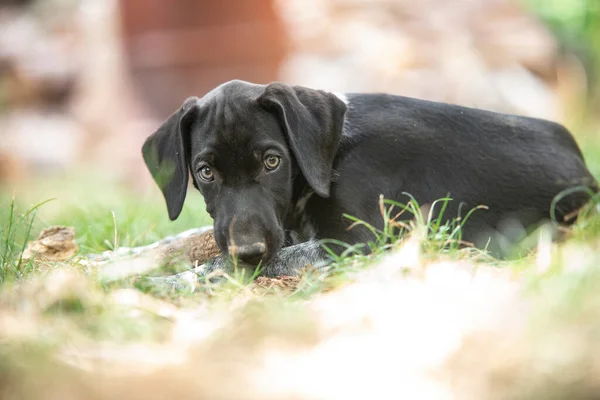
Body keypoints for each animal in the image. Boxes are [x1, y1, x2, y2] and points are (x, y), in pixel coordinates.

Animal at [143, 79, 596, 276]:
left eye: (272, 162)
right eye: (205, 172)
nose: (249, 251)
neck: (329, 153)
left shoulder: (357, 242)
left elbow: (222, 264)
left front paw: (179, 281)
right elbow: (181, 241)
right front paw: (129, 261)